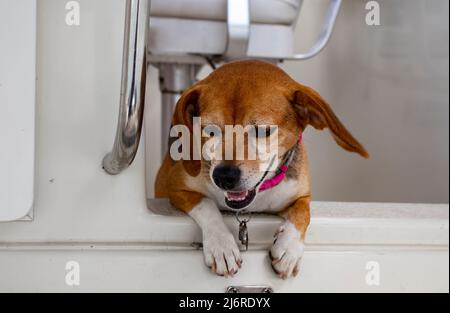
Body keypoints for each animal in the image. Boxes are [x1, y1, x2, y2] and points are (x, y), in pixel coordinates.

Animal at [154, 60, 366, 278]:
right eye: (210, 130)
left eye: (263, 131)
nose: (223, 176)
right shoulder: (176, 188)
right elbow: (206, 204)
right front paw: (221, 246)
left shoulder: (302, 195)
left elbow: (303, 212)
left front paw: (289, 249)